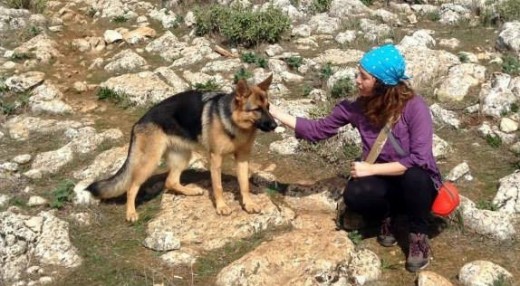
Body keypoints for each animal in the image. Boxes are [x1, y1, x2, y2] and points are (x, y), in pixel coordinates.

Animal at [87, 75, 278, 222]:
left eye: (268, 107)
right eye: (257, 109)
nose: (275, 125)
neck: (234, 122)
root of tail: (139, 122)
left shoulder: (243, 158)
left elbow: (244, 184)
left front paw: (249, 204)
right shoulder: (216, 157)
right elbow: (218, 186)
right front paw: (222, 206)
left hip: (183, 156)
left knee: (170, 181)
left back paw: (191, 191)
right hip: (150, 161)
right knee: (132, 187)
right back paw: (131, 213)